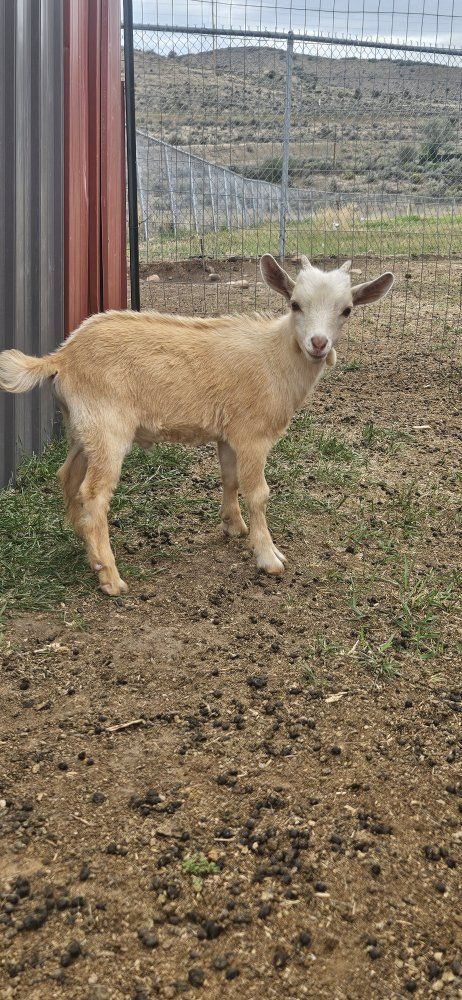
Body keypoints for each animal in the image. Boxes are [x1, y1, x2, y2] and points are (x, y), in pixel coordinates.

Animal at [0, 255, 394, 595]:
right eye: (295, 304)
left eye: (346, 310)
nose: (318, 343)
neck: (276, 357)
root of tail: (62, 357)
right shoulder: (253, 435)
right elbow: (258, 493)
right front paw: (269, 557)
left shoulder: (229, 434)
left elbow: (229, 478)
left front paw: (234, 527)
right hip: (107, 428)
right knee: (93, 494)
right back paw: (109, 576)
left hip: (83, 428)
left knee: (67, 476)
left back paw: (85, 544)